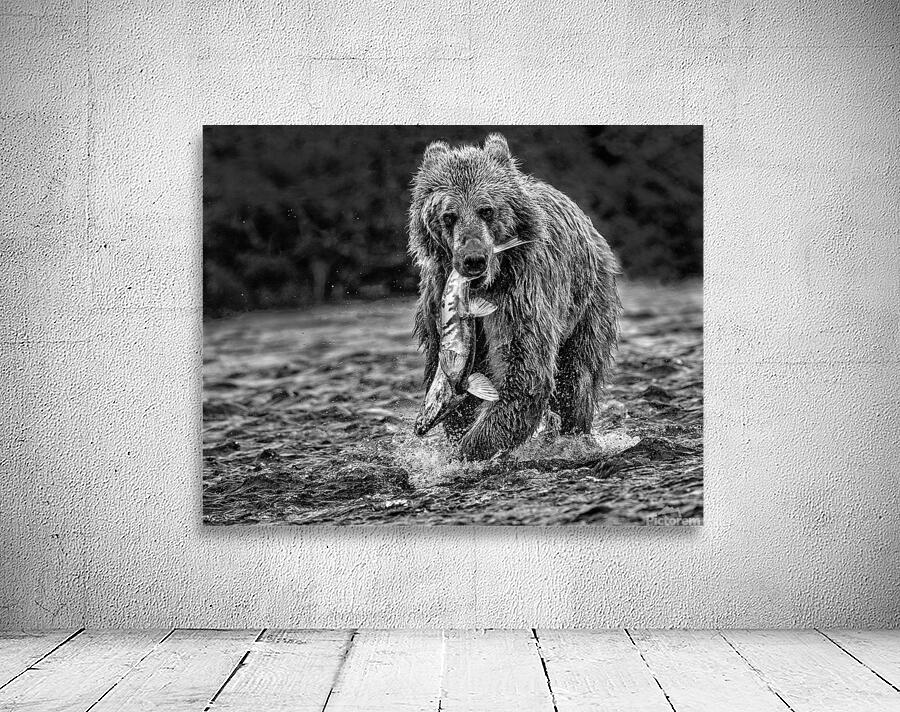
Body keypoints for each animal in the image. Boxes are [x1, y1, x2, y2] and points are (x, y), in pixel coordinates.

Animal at [408, 133, 621, 460]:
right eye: (449, 215)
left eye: (486, 209)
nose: (473, 259)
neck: (482, 288)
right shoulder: (435, 303)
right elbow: (456, 391)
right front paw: (457, 438)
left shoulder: (518, 293)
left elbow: (523, 371)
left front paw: (469, 450)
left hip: (588, 300)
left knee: (576, 377)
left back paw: (574, 435)